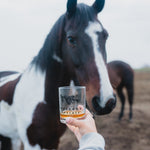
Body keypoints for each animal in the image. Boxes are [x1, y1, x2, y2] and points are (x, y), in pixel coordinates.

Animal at [0, 0, 116, 149]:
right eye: (71, 39)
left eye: (105, 36)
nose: (105, 101)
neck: (45, 100)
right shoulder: (32, 143)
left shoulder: (53, 140)